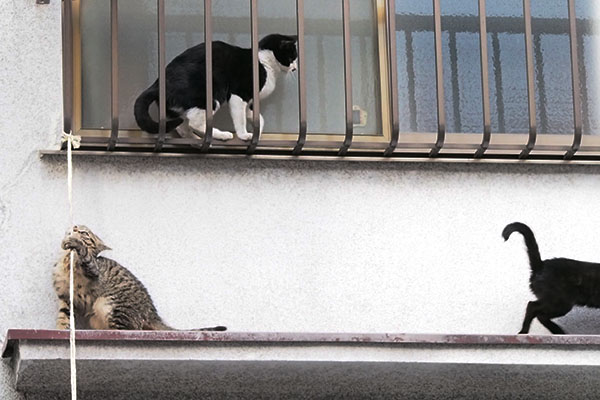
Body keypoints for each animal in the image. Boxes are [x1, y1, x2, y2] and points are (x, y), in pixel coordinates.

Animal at [51, 225, 225, 332]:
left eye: (84, 233)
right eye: (78, 227)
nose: (74, 227)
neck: (66, 261)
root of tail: (152, 311)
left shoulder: (93, 269)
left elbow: (84, 253)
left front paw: (75, 243)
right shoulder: (66, 297)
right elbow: (64, 316)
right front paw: (61, 329)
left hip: (109, 305)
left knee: (128, 329)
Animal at [134, 33, 298, 141]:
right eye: (291, 57)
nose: (295, 68)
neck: (265, 63)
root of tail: (158, 83)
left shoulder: (249, 100)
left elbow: (257, 117)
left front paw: (258, 131)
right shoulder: (238, 94)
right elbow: (240, 118)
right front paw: (244, 135)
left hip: (177, 109)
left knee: (182, 125)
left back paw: (194, 139)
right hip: (211, 93)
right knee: (196, 122)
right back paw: (221, 135)